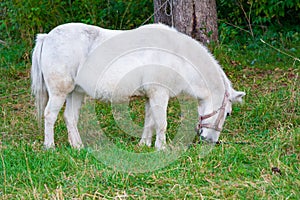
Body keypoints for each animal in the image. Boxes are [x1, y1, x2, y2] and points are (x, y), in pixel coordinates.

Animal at [31, 22, 245, 149]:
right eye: (228, 113)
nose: (211, 141)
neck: (177, 56)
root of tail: (47, 37)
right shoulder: (159, 94)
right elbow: (161, 123)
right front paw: (161, 148)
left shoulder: (151, 96)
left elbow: (150, 121)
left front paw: (145, 144)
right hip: (59, 92)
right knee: (50, 116)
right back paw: (50, 146)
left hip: (75, 92)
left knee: (70, 118)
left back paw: (78, 146)